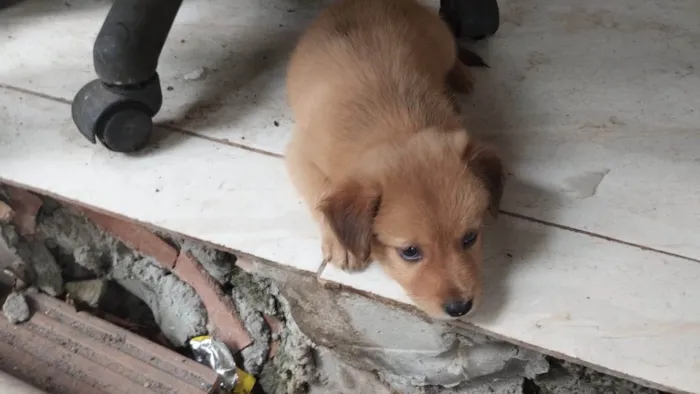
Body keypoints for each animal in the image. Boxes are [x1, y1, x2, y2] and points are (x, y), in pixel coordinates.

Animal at [284, 0, 504, 318]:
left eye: (470, 238)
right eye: (409, 252)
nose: (460, 308)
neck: (395, 129)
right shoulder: (299, 154)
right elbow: (320, 193)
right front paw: (342, 244)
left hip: (443, 39)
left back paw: (460, 79)